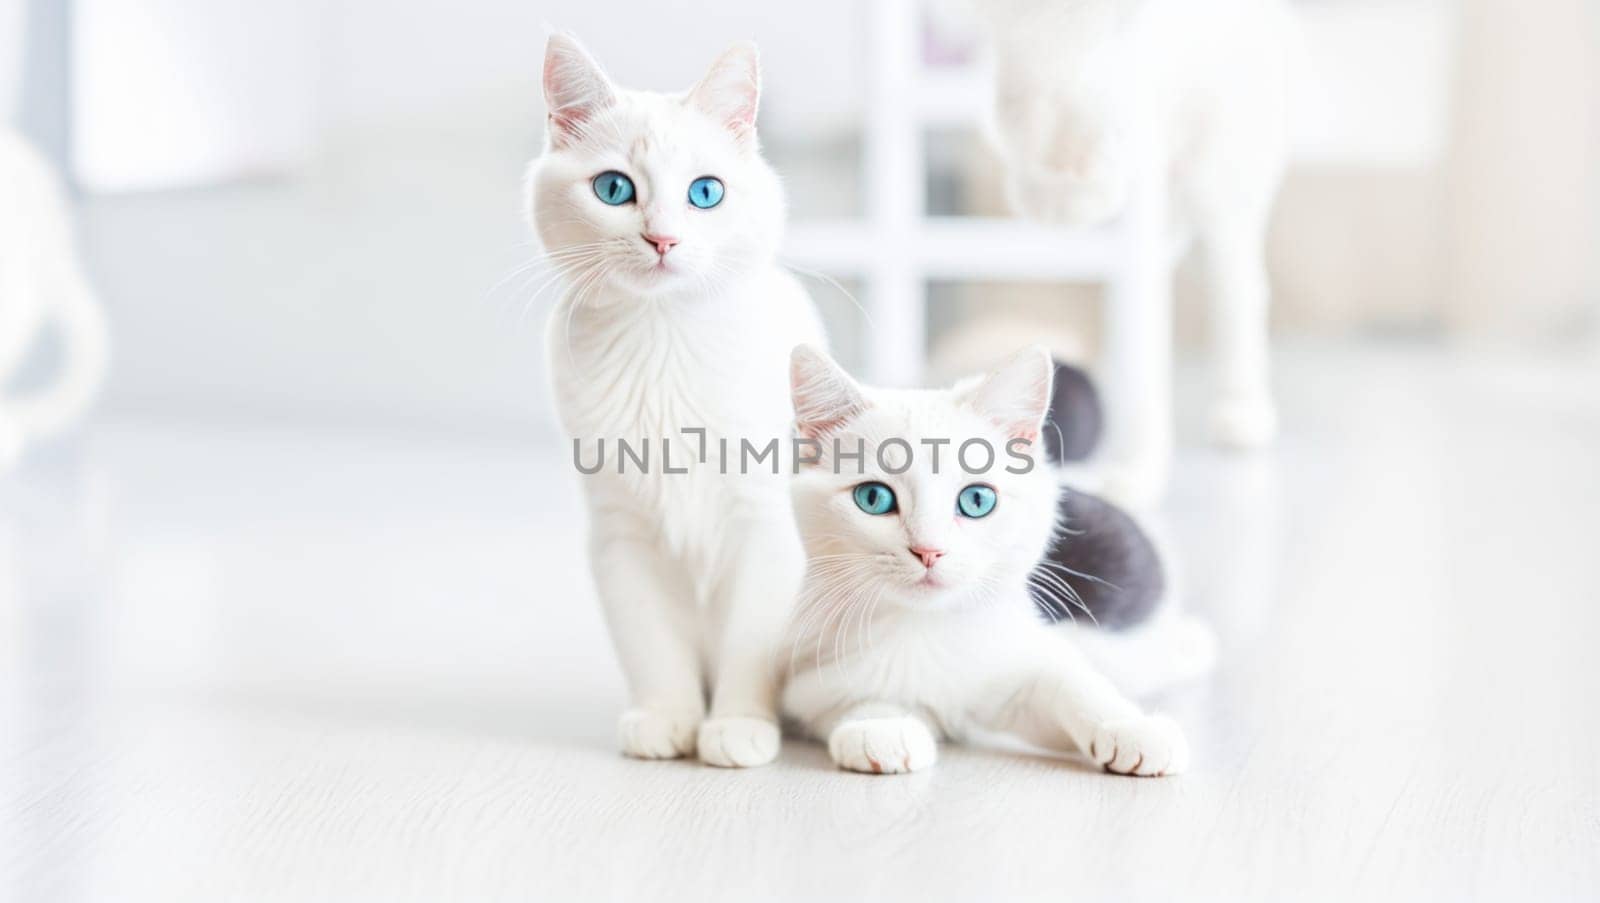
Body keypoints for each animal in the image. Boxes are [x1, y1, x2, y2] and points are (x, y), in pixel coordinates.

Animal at [528, 35, 825, 768]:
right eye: (614, 189)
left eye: (705, 193)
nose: (662, 239)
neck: (660, 338)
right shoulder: (621, 532)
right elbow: (649, 639)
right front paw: (667, 717)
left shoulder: (762, 523)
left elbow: (750, 640)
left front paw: (737, 726)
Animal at [780, 345, 1184, 774]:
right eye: (873, 498)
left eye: (977, 500)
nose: (929, 549)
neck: (924, 628)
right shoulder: (808, 678)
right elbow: (850, 699)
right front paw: (881, 725)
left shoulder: (1018, 651)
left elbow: (1067, 679)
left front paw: (1130, 725)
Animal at [966, 0, 1292, 499]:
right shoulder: (1020, 45)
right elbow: (1026, 100)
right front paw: (1048, 183)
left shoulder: (1123, 63)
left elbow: (1100, 107)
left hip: (1217, 181)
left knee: (1238, 291)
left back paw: (1239, 411)